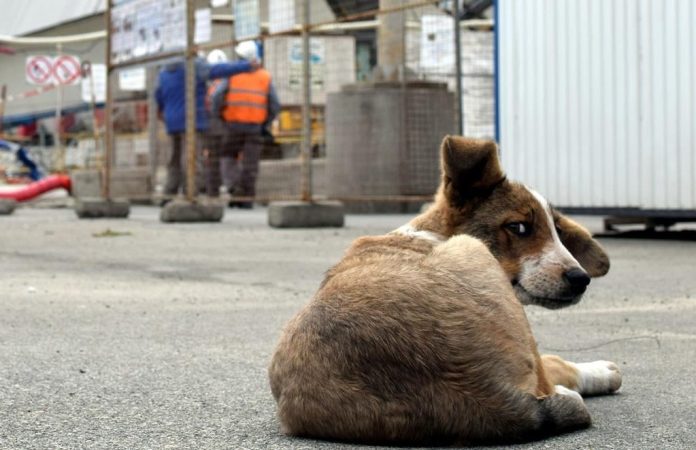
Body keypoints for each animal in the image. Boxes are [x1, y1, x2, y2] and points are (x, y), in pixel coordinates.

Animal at [266, 135, 620, 444]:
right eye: (518, 227)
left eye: (557, 231)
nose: (580, 278)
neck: (431, 234)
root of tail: (484, 401)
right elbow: (554, 363)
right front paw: (601, 370)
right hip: (475, 253)